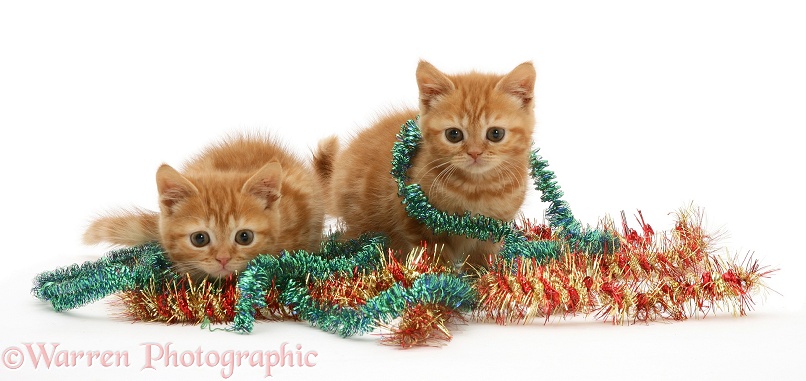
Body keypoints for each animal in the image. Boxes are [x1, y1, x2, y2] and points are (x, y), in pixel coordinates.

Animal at [316, 60, 536, 268]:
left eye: (495, 134)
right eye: (454, 134)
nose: (475, 152)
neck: (476, 189)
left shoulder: (494, 230)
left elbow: (483, 258)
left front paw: (481, 278)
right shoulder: (416, 224)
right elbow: (436, 258)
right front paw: (444, 279)